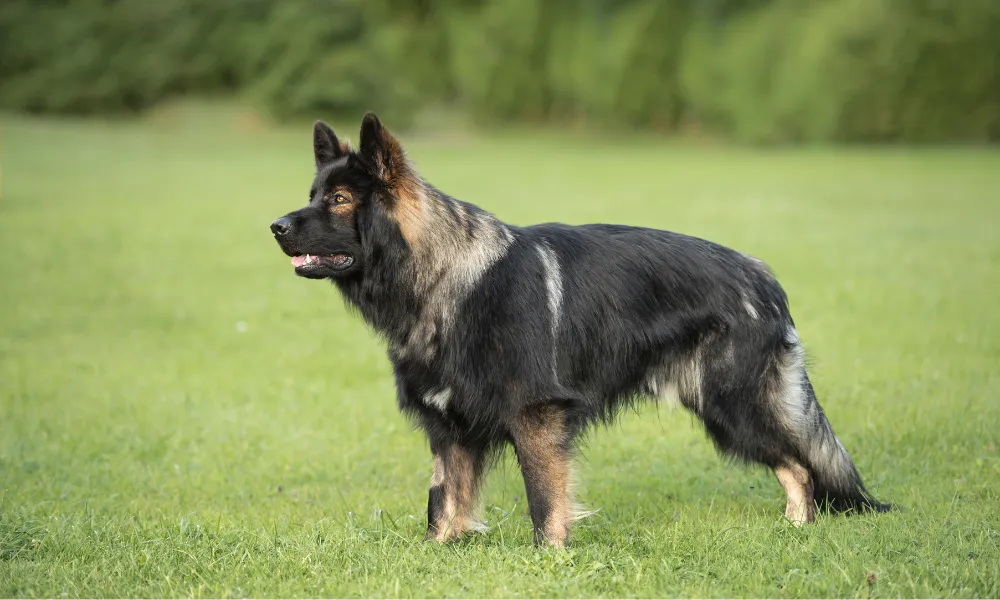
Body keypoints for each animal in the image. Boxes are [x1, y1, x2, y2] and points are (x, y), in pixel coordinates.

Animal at [268, 112, 892, 548]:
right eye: (312, 196)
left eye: (340, 199)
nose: (274, 226)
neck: (444, 276)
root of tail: (762, 276)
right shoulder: (447, 426)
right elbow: (443, 499)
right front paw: (437, 551)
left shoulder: (535, 415)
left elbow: (544, 497)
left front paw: (548, 556)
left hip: (733, 406)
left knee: (801, 465)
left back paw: (797, 528)